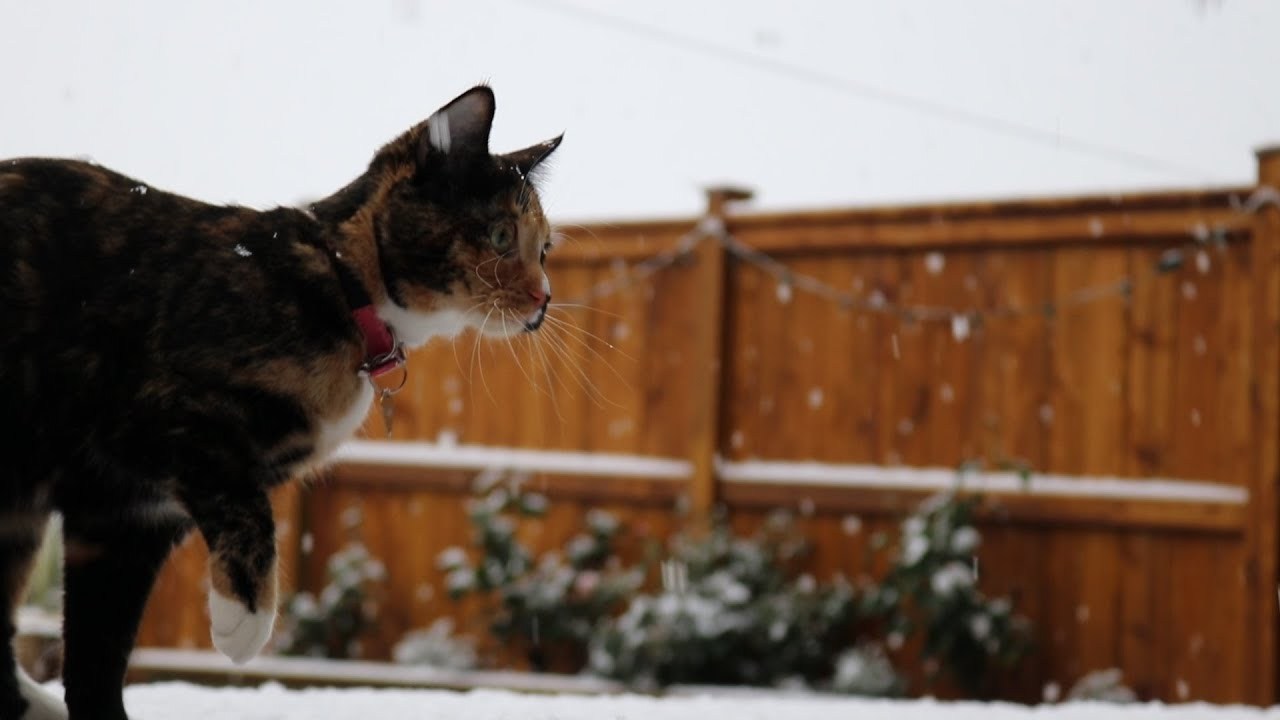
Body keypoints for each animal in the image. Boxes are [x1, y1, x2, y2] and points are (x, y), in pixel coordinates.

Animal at [0, 85, 560, 717]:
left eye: (545, 249)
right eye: (499, 236)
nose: (544, 299)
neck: (342, 284)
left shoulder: (127, 515)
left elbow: (99, 657)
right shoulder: (152, 424)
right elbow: (250, 507)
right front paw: (243, 621)